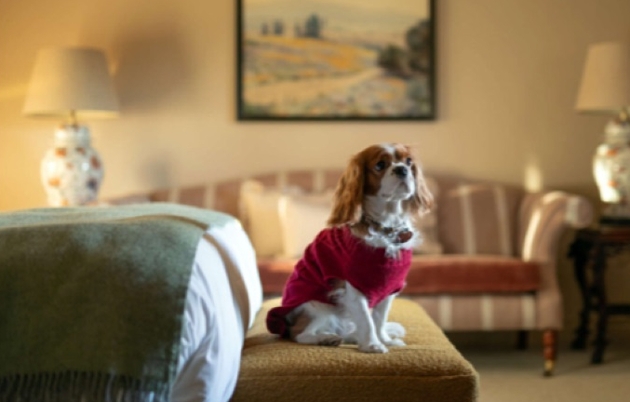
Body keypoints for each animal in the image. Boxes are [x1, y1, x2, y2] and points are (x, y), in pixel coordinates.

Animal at [266, 143, 434, 354]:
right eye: (380, 165)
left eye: (408, 161)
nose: (402, 169)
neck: (386, 226)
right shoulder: (353, 288)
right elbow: (366, 320)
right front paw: (372, 345)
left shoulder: (389, 288)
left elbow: (379, 319)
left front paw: (384, 340)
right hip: (317, 306)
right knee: (299, 334)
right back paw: (325, 338)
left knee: (345, 332)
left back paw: (349, 337)